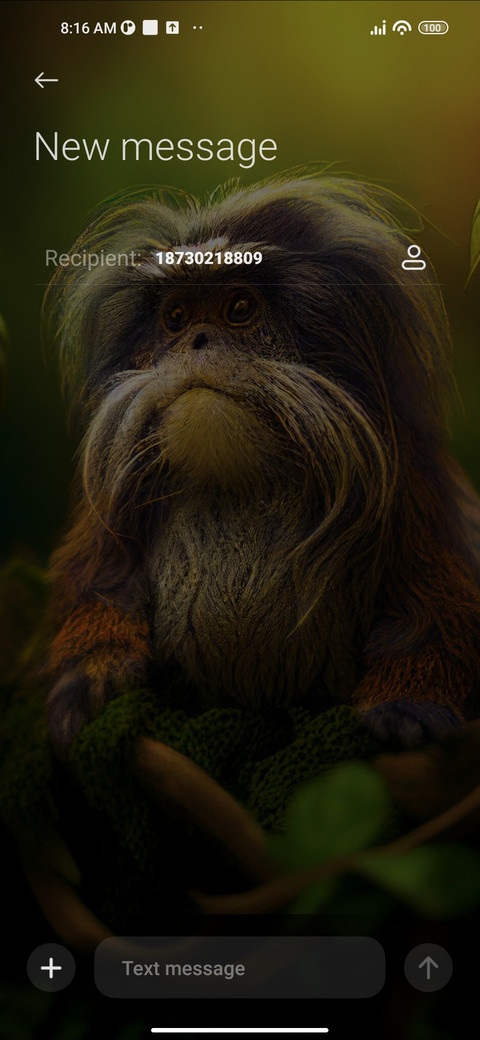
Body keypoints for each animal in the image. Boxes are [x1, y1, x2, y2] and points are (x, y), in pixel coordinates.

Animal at [42, 174, 480, 752]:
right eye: (175, 319)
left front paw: (409, 701)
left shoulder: (412, 485)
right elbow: (103, 586)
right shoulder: (110, 510)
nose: (197, 340)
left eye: (239, 308)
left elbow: (432, 615)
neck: (237, 481)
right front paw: (93, 668)